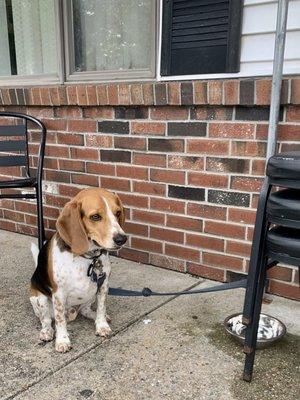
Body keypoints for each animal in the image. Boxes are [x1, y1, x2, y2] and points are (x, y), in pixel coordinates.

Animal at [30, 188, 127, 354]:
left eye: (117, 212)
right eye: (95, 217)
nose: (122, 239)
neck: (88, 257)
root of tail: (72, 313)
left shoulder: (103, 285)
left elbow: (101, 307)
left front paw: (102, 325)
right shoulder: (59, 294)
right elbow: (60, 320)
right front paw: (62, 340)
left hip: (90, 295)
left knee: (86, 310)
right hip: (39, 298)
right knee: (46, 319)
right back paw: (47, 332)